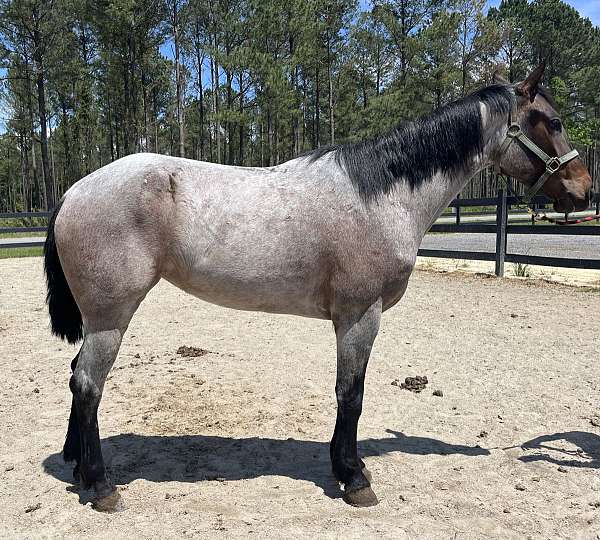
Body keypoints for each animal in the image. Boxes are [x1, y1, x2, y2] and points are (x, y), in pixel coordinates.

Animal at [43, 64, 592, 510]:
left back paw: (78, 466)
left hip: (100, 319)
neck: (382, 196)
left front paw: (345, 466)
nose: (584, 189)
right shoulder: (360, 316)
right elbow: (351, 394)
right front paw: (354, 479)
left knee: (76, 377)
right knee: (87, 384)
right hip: (112, 316)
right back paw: (101, 486)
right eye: (553, 121)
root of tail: (75, 190)